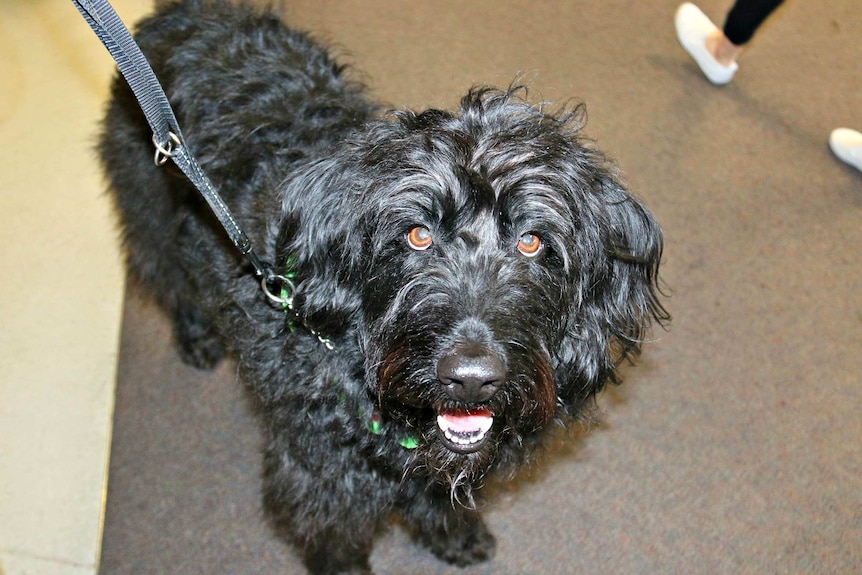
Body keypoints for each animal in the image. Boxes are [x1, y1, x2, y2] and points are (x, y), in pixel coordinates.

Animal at [99, 2, 668, 572]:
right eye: (417, 234)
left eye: (531, 241)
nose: (470, 379)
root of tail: (184, 12)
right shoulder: (322, 478)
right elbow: (333, 535)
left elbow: (441, 498)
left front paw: (457, 536)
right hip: (148, 203)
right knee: (165, 272)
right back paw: (196, 335)